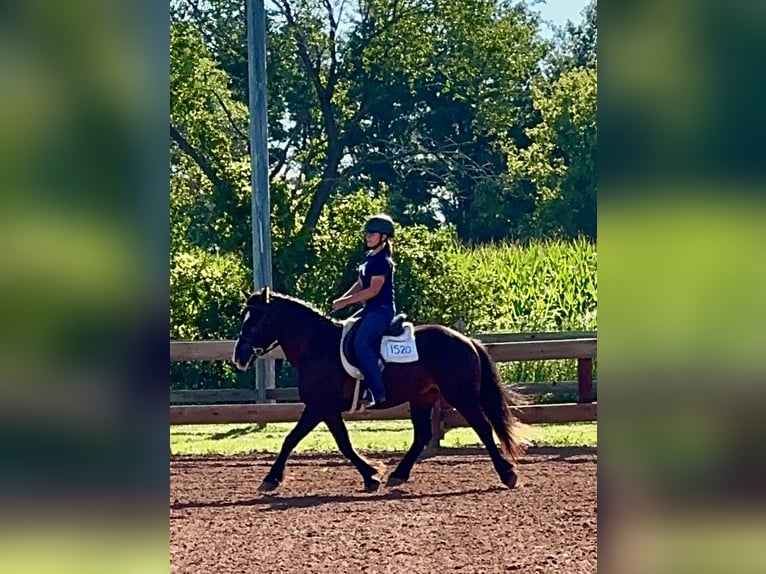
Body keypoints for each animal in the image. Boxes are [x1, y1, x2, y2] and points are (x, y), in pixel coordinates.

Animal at [232, 287, 527, 492]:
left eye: (257, 319)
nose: (239, 356)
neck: (316, 345)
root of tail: (467, 340)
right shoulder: (328, 410)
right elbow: (344, 443)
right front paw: (372, 475)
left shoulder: (318, 407)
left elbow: (291, 439)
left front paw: (270, 479)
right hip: (422, 398)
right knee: (422, 436)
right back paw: (398, 475)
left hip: (461, 395)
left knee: (482, 427)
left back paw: (507, 474)